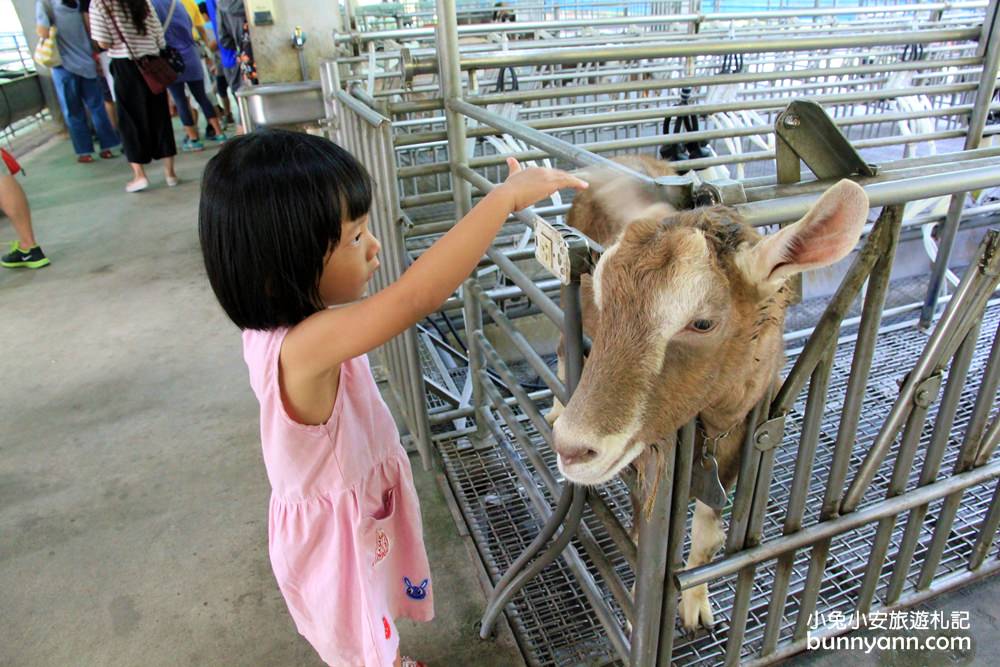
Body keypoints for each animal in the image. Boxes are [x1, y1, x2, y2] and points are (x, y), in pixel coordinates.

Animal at [548, 154, 868, 636]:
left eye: (702, 323)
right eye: (602, 297)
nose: (571, 448)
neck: (714, 420)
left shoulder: (738, 444)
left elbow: (705, 537)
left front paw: (695, 606)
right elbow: (645, 536)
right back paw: (553, 407)